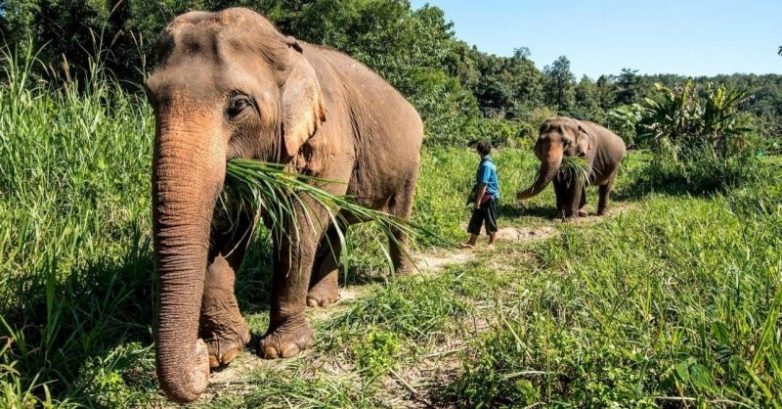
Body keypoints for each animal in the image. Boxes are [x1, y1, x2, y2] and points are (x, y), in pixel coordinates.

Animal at [141, 7, 422, 402]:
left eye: (238, 105)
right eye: (151, 98)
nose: (196, 355)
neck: (286, 46)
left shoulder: (331, 138)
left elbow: (300, 222)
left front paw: (282, 350)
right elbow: (230, 228)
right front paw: (221, 353)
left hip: (411, 159)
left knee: (396, 218)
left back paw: (402, 279)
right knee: (337, 224)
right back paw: (320, 302)